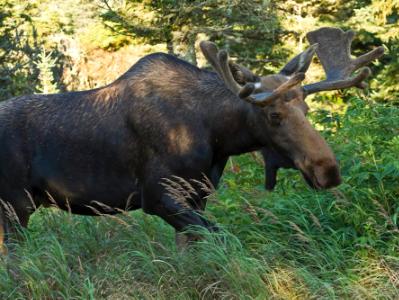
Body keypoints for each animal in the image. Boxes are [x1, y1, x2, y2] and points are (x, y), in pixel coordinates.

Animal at [0, 27, 384, 251]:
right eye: (274, 115)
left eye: (306, 107)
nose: (328, 170)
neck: (218, 138)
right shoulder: (157, 196)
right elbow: (222, 238)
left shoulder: (197, 197)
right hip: (16, 205)